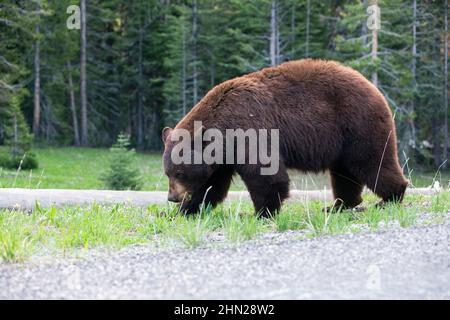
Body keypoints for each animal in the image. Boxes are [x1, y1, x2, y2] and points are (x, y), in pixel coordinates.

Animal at [163, 58, 410, 216]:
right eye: (168, 172)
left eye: (179, 172)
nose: (171, 197)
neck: (223, 130)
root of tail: (373, 87)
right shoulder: (223, 157)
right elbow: (211, 184)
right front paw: (183, 211)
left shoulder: (249, 131)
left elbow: (265, 174)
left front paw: (262, 212)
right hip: (344, 142)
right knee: (344, 173)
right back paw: (337, 205)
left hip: (358, 125)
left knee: (372, 162)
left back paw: (389, 198)